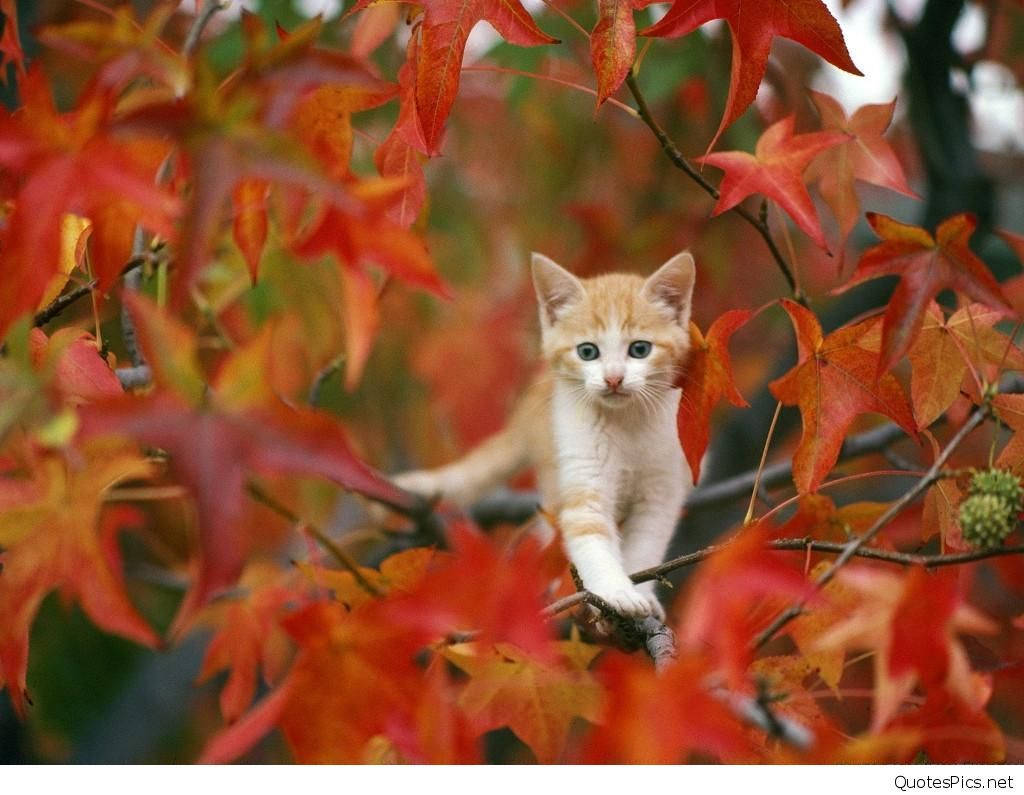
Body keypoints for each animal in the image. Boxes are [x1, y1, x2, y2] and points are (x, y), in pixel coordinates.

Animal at [391, 252, 696, 618]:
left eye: (640, 349)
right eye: (587, 352)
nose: (613, 379)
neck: (626, 422)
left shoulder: (661, 490)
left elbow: (647, 545)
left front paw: (643, 595)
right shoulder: (581, 468)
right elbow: (588, 534)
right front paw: (615, 591)